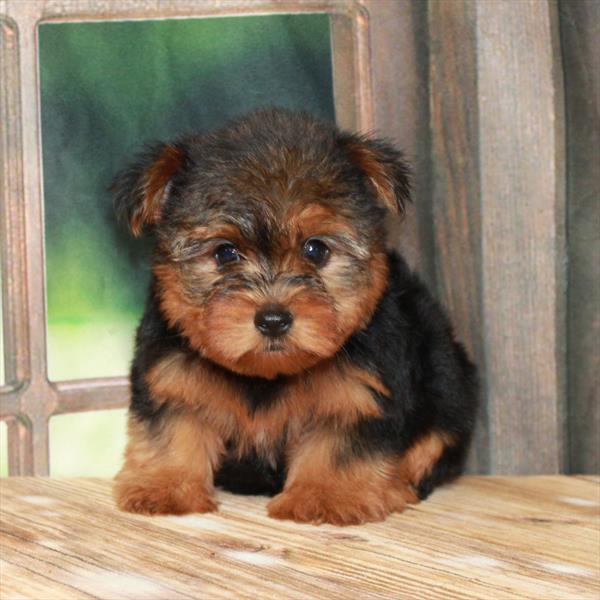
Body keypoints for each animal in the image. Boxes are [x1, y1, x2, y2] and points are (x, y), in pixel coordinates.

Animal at [112, 108, 478, 524]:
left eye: (316, 249)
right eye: (224, 253)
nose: (273, 319)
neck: (267, 375)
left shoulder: (360, 391)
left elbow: (341, 447)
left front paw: (326, 496)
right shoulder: (172, 376)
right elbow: (171, 429)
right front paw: (164, 486)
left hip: (449, 383)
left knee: (432, 440)